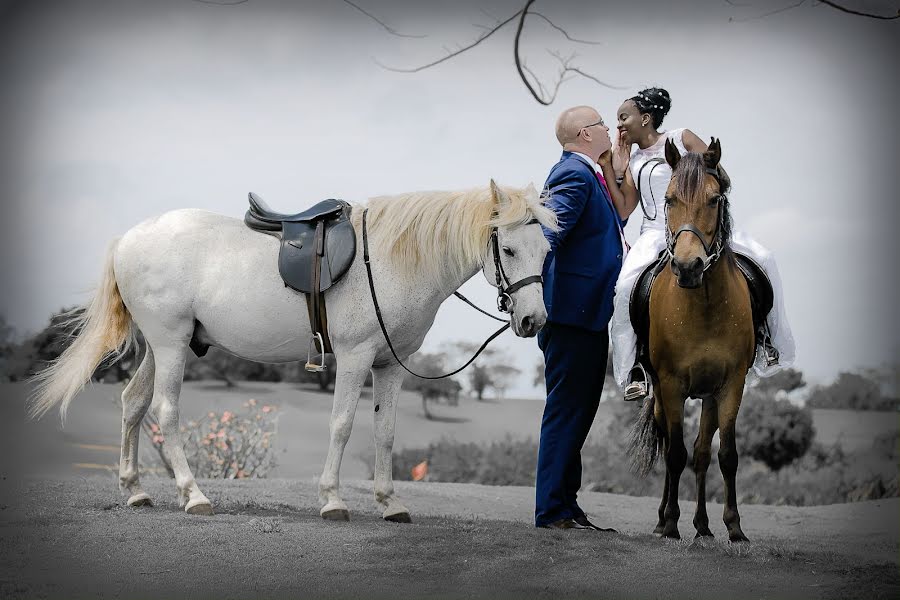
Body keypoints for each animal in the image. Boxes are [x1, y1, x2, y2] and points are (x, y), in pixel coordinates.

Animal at [28, 180, 556, 524]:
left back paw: (135, 491)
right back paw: (193, 495)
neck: (387, 260)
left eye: (547, 251)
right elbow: (342, 425)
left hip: (160, 348)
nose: (533, 321)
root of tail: (130, 237)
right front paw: (333, 501)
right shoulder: (356, 358)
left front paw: (391, 503)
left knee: (133, 404)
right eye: (509, 250)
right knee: (165, 410)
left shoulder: (389, 365)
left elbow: (385, 432)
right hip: (171, 345)